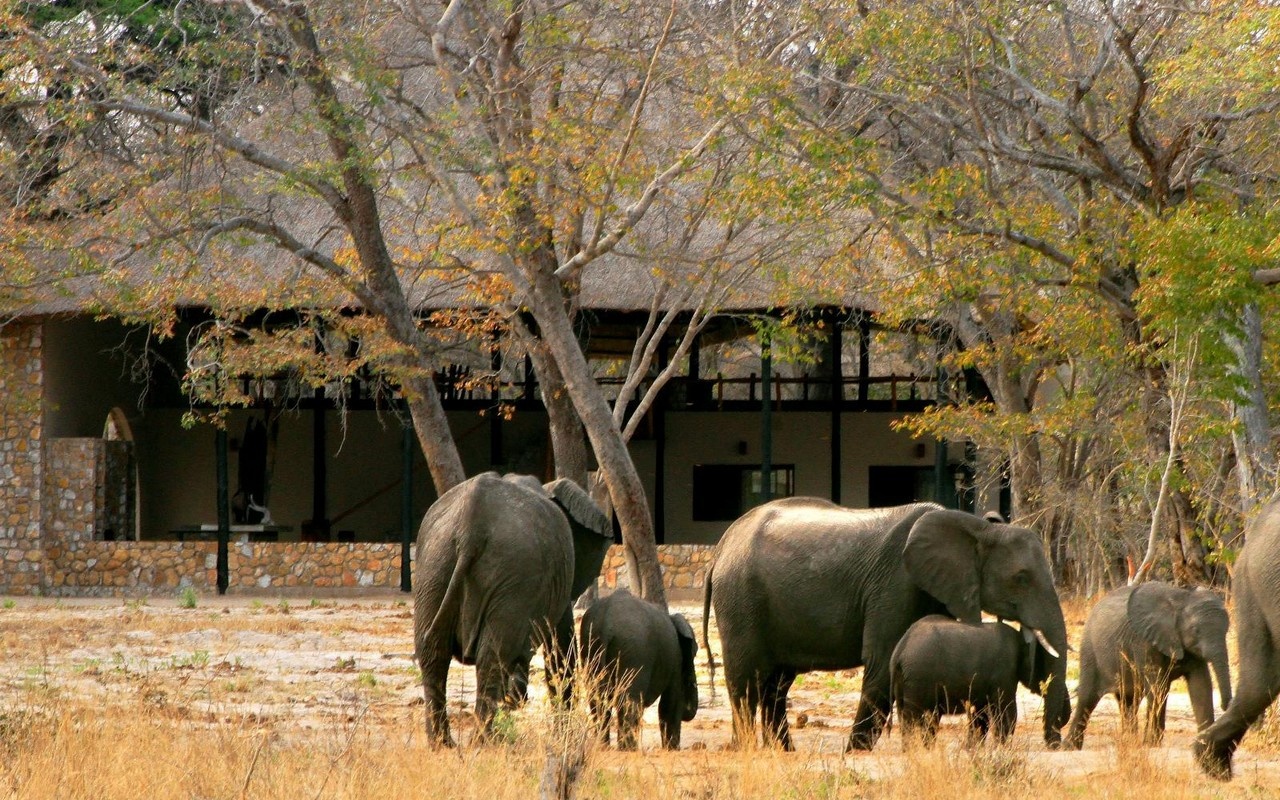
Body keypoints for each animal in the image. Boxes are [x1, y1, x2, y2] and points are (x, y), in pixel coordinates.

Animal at [413, 471, 612, 747]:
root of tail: (471, 525)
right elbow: (561, 650)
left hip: (434, 566)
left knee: (434, 652)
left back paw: (443, 744)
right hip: (513, 572)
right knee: (492, 657)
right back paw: (484, 741)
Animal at [579, 588, 699, 750]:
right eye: (694, 653)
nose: (690, 711)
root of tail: (605, 624)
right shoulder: (676, 659)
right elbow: (670, 703)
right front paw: (672, 750)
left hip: (590, 648)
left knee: (598, 700)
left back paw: (604, 747)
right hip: (634, 652)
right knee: (629, 702)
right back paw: (628, 749)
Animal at [891, 616, 1052, 746]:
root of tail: (900, 650)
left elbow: (980, 715)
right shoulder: (1005, 672)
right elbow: (1006, 711)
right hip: (919, 677)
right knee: (915, 718)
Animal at [1064, 581, 1231, 750]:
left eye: (1227, 630)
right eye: (1195, 631)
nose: (1226, 706)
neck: (1180, 600)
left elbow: (1200, 686)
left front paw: (1206, 745)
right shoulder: (1144, 641)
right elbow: (1158, 687)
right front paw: (1152, 744)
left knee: (1129, 700)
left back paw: (1129, 742)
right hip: (1089, 649)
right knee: (1087, 697)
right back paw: (1069, 747)